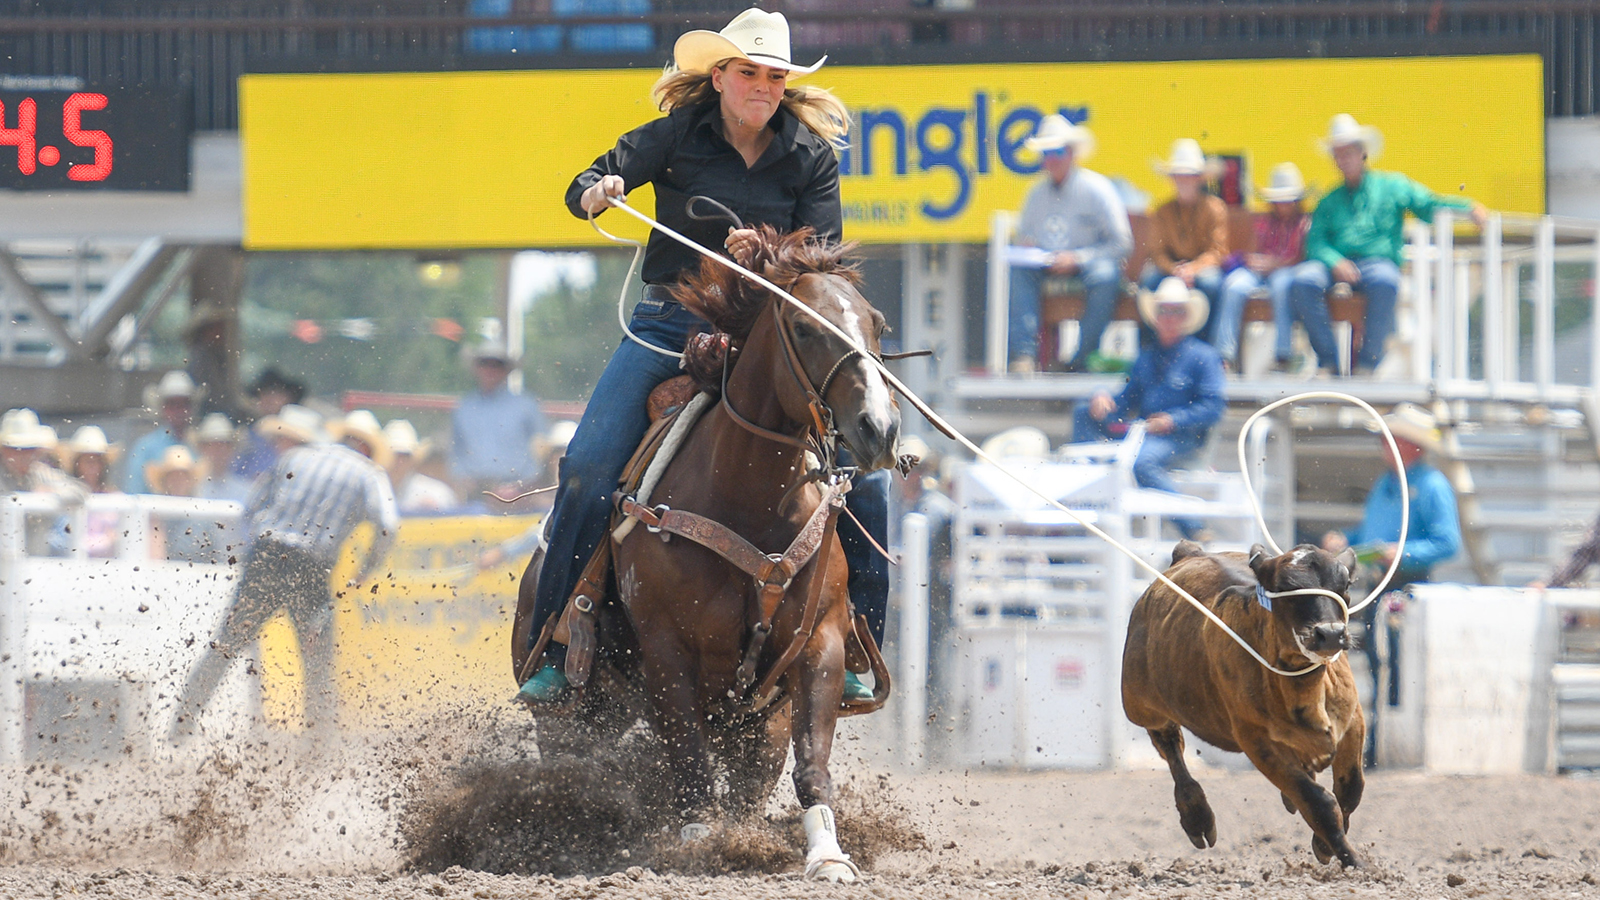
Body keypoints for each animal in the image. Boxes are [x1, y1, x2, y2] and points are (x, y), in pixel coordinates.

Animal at [518, 224, 908, 877]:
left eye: (877, 323)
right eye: (802, 326)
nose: (878, 428)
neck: (749, 497)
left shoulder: (820, 644)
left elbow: (812, 762)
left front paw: (828, 855)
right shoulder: (667, 649)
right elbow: (689, 763)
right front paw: (701, 839)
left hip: (753, 725)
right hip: (573, 707)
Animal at [1120, 534, 1369, 864]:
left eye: (1344, 586)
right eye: (1286, 588)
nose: (1330, 634)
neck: (1305, 690)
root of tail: (1188, 553)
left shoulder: (1354, 721)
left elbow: (1351, 789)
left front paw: (1327, 845)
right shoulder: (1257, 741)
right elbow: (1320, 804)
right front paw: (1352, 861)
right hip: (1141, 703)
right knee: (1170, 745)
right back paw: (1197, 817)